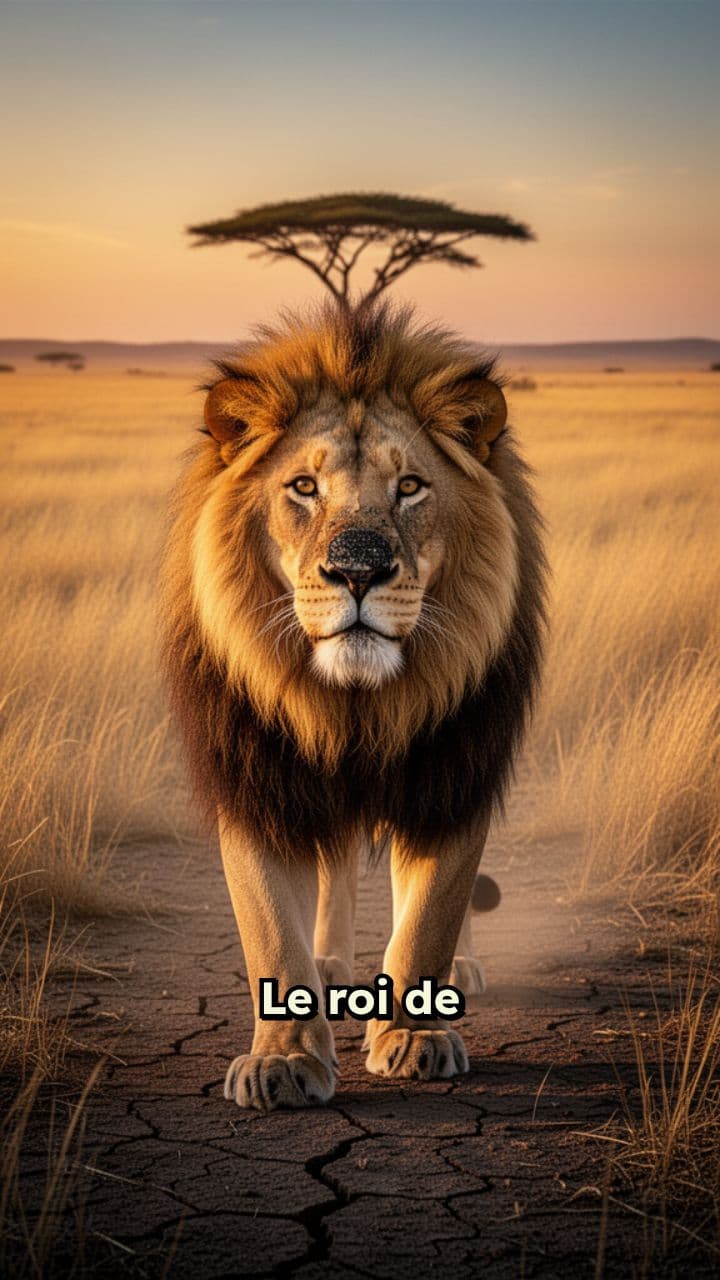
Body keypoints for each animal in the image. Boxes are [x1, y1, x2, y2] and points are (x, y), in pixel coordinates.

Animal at [160, 302, 546, 1112]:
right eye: (304, 486)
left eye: (411, 487)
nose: (359, 569)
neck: (354, 704)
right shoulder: (257, 779)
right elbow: (271, 930)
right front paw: (282, 1062)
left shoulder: (454, 772)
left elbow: (431, 916)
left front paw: (415, 1036)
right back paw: (332, 961)